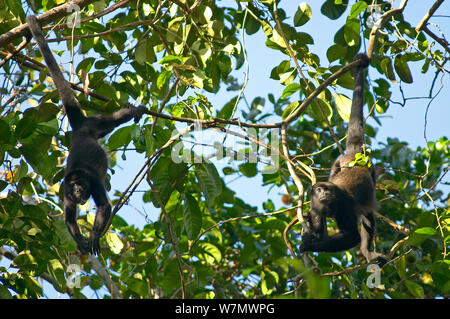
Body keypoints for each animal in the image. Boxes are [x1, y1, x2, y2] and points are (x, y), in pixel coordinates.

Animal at [27, 15, 147, 256]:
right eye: (72, 187)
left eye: (80, 184)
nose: (77, 190)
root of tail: (80, 127)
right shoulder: (64, 192)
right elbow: (69, 218)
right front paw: (81, 241)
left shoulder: (93, 181)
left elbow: (104, 206)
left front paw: (93, 237)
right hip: (94, 128)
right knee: (109, 128)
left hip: (94, 122)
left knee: (114, 121)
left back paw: (134, 111)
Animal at [298, 54, 386, 268]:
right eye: (319, 190)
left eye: (327, 190)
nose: (324, 192)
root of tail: (354, 155)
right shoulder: (315, 206)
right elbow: (318, 227)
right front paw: (309, 226)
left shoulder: (344, 204)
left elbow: (353, 236)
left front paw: (311, 244)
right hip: (337, 163)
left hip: (371, 170)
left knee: (367, 217)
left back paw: (367, 252)